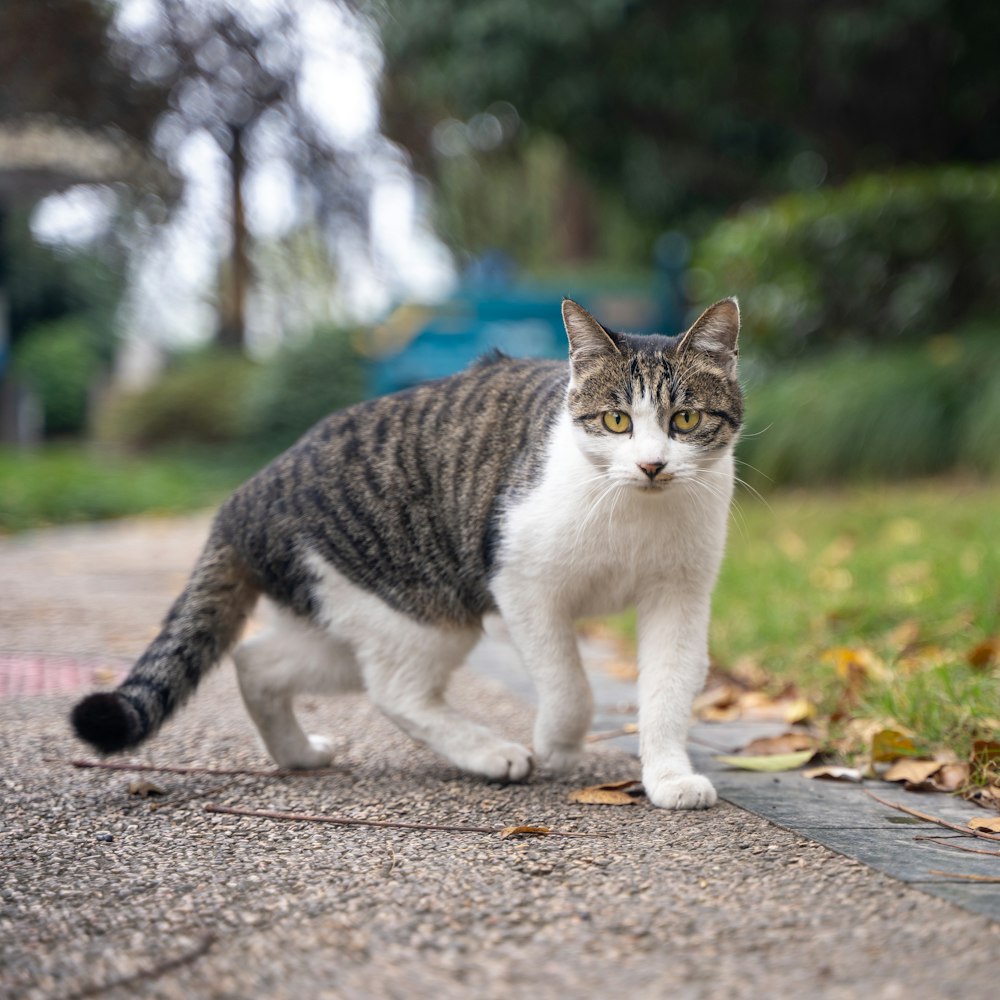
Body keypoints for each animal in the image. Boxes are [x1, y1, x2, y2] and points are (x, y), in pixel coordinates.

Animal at [70, 294, 744, 804]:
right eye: (615, 422)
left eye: (685, 421)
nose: (652, 465)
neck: (634, 510)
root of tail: (246, 494)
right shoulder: (523, 585)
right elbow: (570, 685)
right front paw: (558, 743)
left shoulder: (680, 597)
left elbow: (668, 691)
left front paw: (668, 776)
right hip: (425, 612)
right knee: (394, 692)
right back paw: (490, 752)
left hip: (350, 619)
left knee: (256, 660)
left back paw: (297, 753)